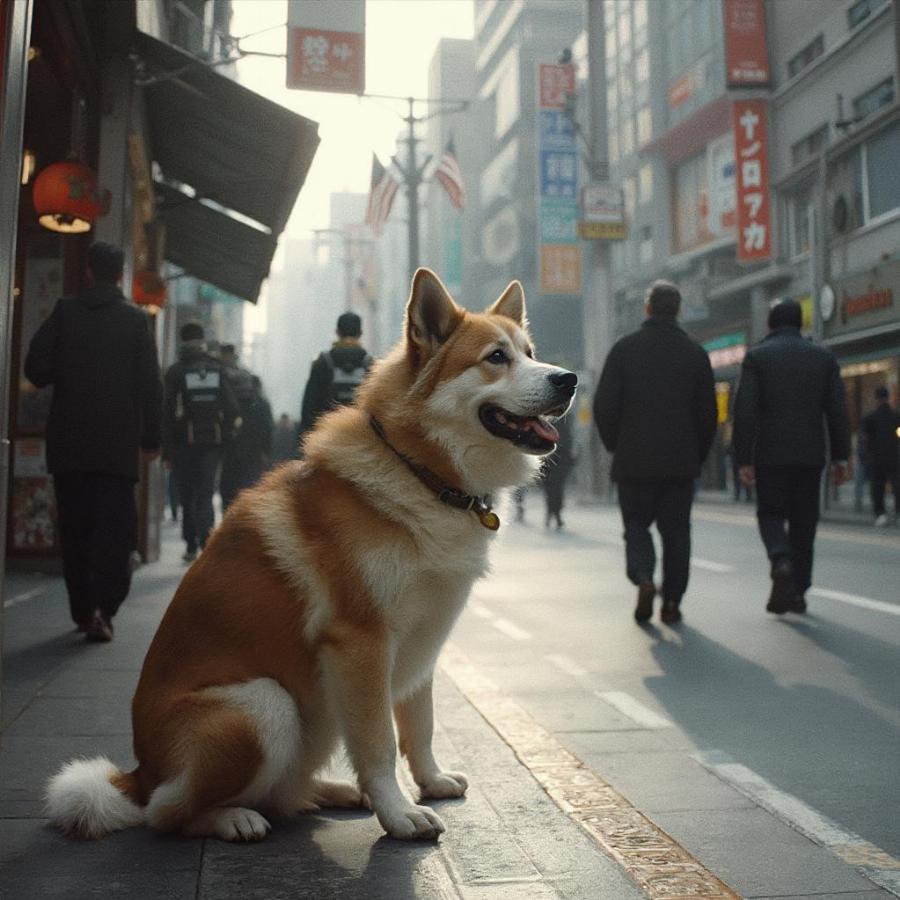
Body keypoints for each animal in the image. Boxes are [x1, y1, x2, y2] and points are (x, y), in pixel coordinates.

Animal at [45, 268, 576, 844]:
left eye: (530, 353)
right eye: (496, 357)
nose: (569, 379)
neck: (420, 473)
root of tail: (138, 773)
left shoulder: (424, 638)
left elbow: (421, 723)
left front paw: (431, 780)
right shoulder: (361, 642)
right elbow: (380, 742)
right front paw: (398, 813)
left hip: (314, 718)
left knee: (283, 792)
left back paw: (333, 791)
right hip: (265, 705)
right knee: (169, 812)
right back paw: (233, 818)